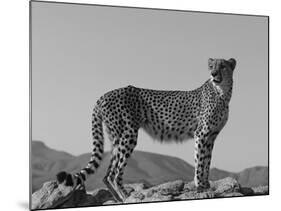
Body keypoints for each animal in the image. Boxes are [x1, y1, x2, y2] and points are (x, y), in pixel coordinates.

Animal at [57, 57, 236, 203]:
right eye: (211, 66)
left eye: (223, 66)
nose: (213, 73)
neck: (222, 93)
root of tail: (105, 95)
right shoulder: (201, 134)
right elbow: (200, 162)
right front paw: (200, 187)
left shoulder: (211, 136)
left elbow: (206, 161)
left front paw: (206, 185)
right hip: (128, 134)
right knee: (115, 173)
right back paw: (126, 197)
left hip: (116, 138)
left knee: (107, 174)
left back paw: (118, 199)